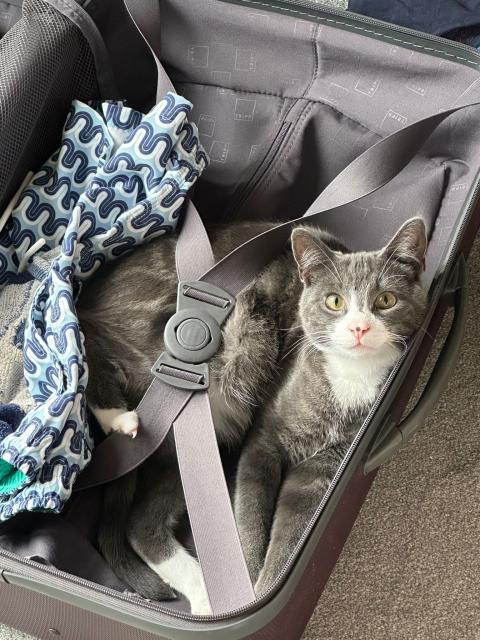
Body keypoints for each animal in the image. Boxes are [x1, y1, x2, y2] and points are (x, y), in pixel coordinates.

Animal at [78, 216, 428, 616]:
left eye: (386, 300)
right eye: (334, 301)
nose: (359, 328)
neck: (351, 377)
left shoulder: (322, 469)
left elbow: (290, 534)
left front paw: (263, 585)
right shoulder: (264, 440)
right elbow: (249, 520)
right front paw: (245, 591)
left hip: (201, 444)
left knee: (142, 524)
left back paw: (203, 595)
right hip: (194, 352)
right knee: (90, 345)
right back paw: (119, 417)